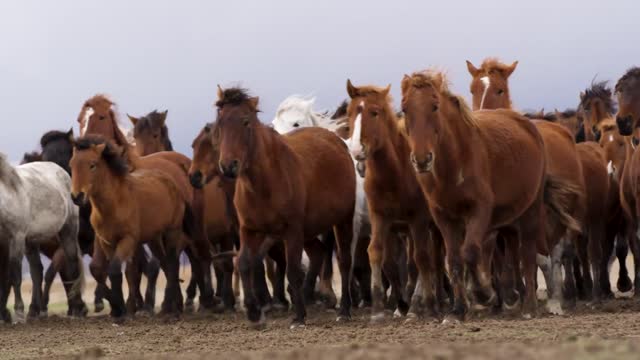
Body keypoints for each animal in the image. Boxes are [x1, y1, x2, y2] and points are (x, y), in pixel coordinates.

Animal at [0, 153, 84, 322]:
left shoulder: (16, 238)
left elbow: (14, 276)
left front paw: (18, 312)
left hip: (68, 231)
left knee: (72, 263)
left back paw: (76, 309)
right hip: (31, 241)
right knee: (37, 271)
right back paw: (34, 311)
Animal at [70, 136, 190, 320]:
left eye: (92, 164)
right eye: (71, 165)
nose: (77, 196)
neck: (115, 204)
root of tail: (169, 179)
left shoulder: (128, 239)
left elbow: (115, 270)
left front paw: (123, 310)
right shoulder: (107, 242)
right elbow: (113, 272)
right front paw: (119, 310)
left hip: (172, 232)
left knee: (172, 263)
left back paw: (170, 309)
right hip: (155, 238)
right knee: (163, 262)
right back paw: (172, 306)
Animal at [215, 87, 356, 330]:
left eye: (245, 121)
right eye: (220, 122)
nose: (228, 166)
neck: (264, 183)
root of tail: (336, 141)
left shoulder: (292, 231)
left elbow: (292, 269)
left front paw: (298, 317)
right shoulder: (249, 230)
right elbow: (244, 263)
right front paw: (254, 313)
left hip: (341, 220)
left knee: (344, 260)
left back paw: (343, 310)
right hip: (309, 230)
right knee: (318, 253)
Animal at [402, 71, 552, 320]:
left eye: (434, 106)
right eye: (405, 108)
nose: (422, 159)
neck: (455, 162)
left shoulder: (479, 210)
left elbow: (470, 252)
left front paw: (484, 294)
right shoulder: (444, 217)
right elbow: (454, 260)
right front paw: (458, 309)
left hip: (531, 210)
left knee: (528, 254)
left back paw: (529, 306)